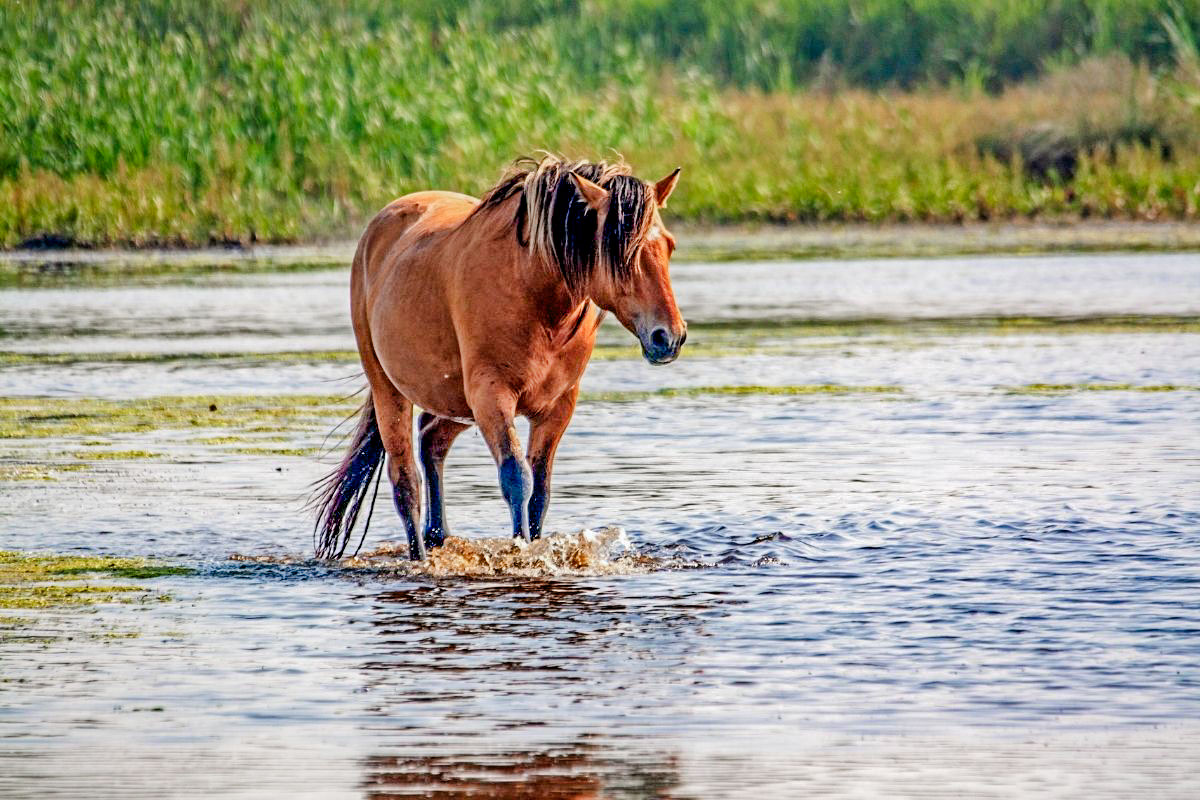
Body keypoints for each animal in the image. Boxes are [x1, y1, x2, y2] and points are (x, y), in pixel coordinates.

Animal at [312, 155, 687, 561]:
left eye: (668, 246)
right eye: (621, 253)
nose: (669, 337)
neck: (535, 297)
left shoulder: (557, 407)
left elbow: (541, 490)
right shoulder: (492, 397)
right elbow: (516, 478)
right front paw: (521, 550)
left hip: (454, 402)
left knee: (431, 440)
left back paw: (437, 535)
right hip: (392, 391)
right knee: (405, 482)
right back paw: (420, 556)